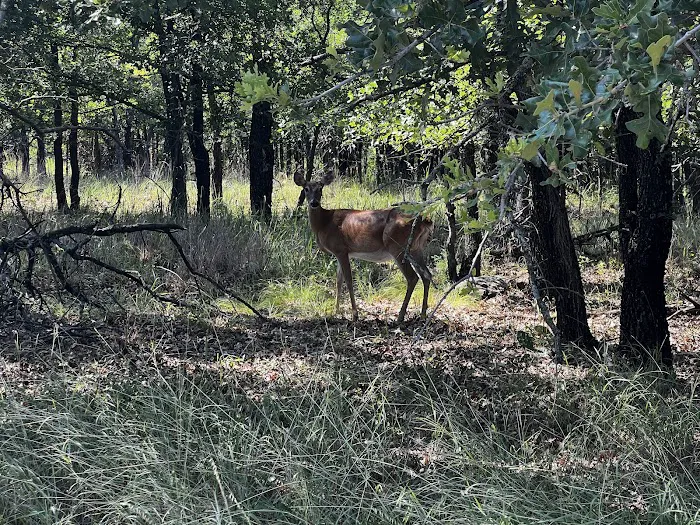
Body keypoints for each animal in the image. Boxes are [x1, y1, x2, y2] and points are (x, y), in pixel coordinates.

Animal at [294, 170, 433, 323]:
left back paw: (400, 316)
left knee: (413, 277)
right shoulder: (342, 252)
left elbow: (348, 280)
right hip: (416, 248)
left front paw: (355, 314)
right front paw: (336, 311)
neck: (324, 223)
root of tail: (425, 220)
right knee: (427, 275)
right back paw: (423, 314)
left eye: (320, 188)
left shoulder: (340, 249)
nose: (314, 203)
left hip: (397, 246)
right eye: (306, 189)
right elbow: (338, 281)